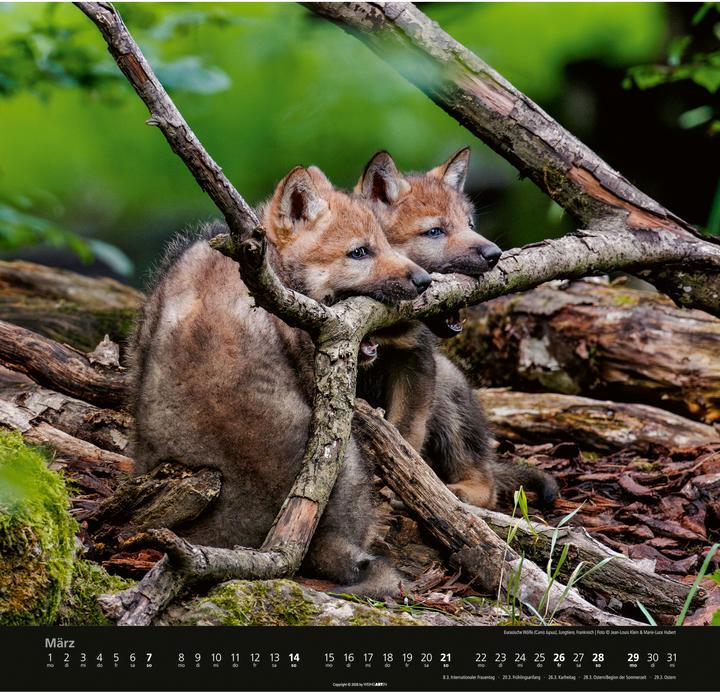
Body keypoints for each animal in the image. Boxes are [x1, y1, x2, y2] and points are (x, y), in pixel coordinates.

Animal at [356, 149, 558, 508]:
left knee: (486, 485)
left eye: (471, 224)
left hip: (449, 383)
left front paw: (401, 482)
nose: (495, 254)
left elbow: (404, 433)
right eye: (435, 232)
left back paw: (454, 493)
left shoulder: (416, 360)